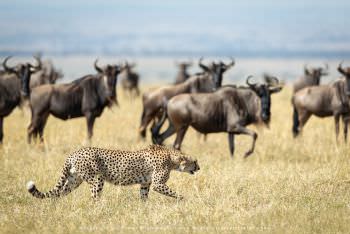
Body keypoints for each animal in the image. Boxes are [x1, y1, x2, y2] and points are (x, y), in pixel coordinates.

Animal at [26, 145, 200, 200]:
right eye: (195, 161)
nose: (199, 168)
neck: (172, 158)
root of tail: (75, 152)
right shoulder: (157, 183)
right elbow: (173, 193)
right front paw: (183, 199)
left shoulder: (145, 183)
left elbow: (144, 196)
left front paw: (144, 209)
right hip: (97, 179)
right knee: (94, 197)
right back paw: (100, 209)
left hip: (74, 180)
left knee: (59, 193)